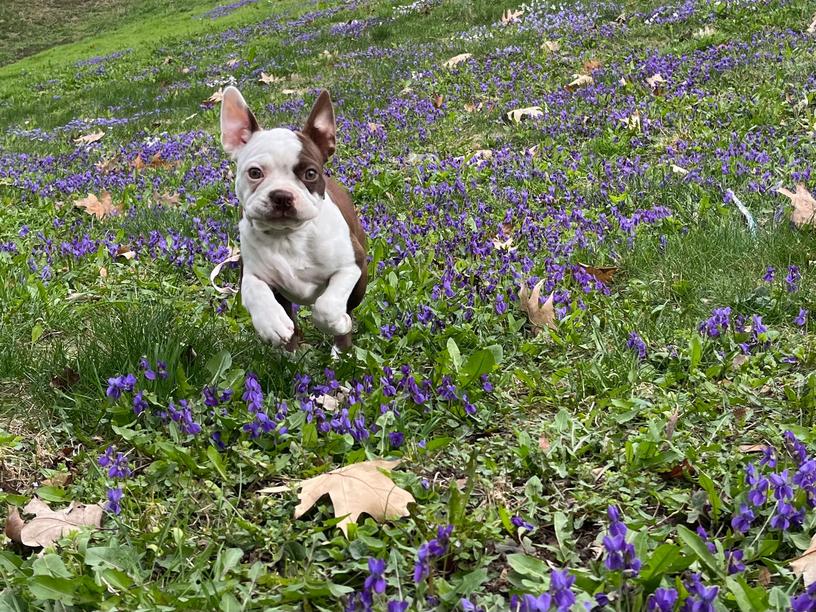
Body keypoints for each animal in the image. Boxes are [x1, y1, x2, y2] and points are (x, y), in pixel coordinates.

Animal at [220, 88, 366, 352]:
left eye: (310, 173)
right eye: (255, 173)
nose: (281, 195)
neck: (288, 235)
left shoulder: (353, 265)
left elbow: (326, 307)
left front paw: (338, 323)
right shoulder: (250, 272)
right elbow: (255, 290)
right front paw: (271, 323)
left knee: (344, 308)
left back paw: (341, 349)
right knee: (292, 320)